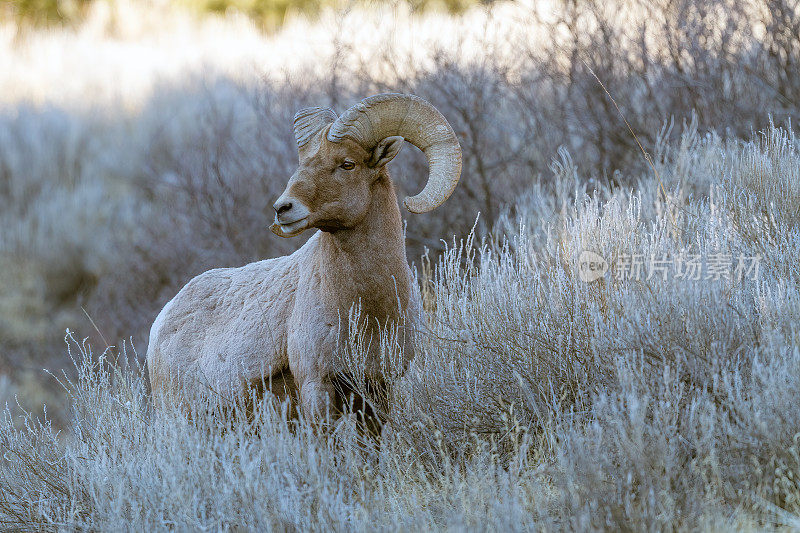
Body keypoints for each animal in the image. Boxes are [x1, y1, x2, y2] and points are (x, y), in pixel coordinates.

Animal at [145, 94, 462, 420]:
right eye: (303, 163)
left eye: (347, 164)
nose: (282, 208)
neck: (369, 311)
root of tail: (163, 321)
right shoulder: (316, 386)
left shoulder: (377, 389)